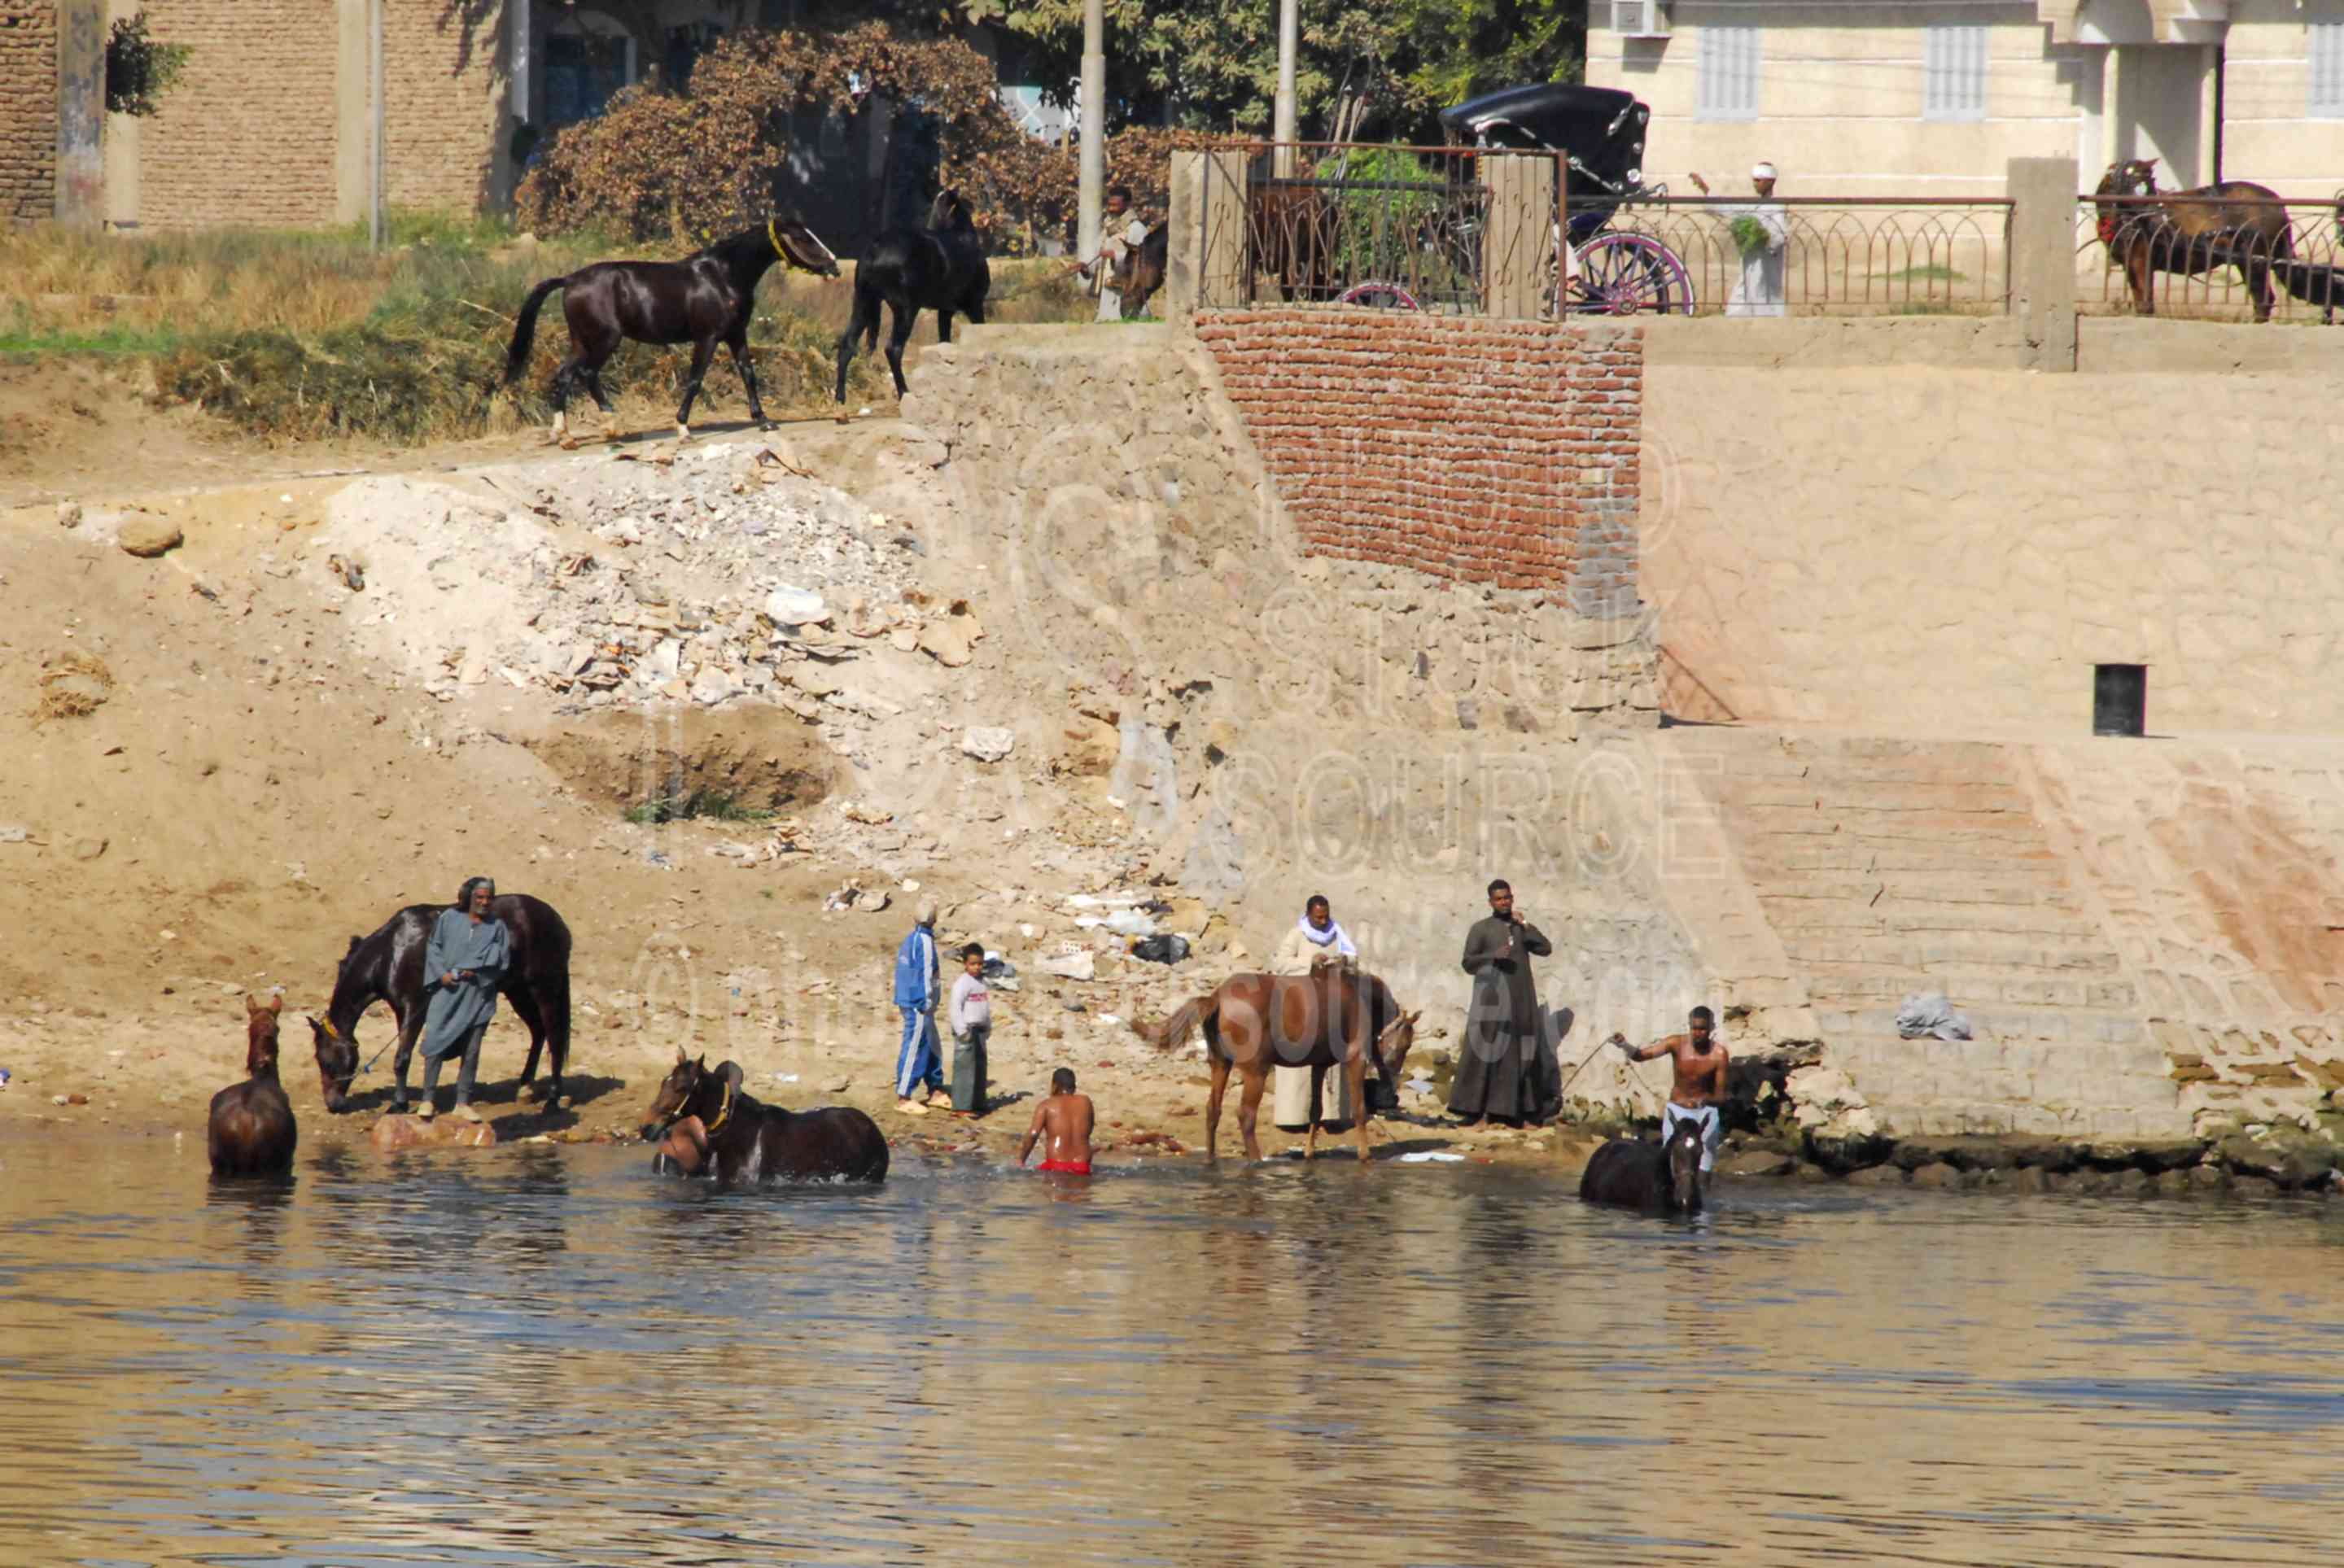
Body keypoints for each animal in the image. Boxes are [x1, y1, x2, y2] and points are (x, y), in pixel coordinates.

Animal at [306, 893, 573, 1115]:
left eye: (325, 1060)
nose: (333, 1105)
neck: (390, 954)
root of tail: (557, 921)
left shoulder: (413, 1008)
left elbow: (402, 1058)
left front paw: (399, 1104)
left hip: (544, 991)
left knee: (554, 1039)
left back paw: (552, 1100)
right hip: (518, 992)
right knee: (538, 1032)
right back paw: (525, 1088)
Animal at [501, 215, 841, 443]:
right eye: (803, 238)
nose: (835, 266)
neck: (722, 276)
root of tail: (570, 280)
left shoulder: (736, 335)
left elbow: (749, 374)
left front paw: (764, 420)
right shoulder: (708, 338)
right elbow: (695, 380)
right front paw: (683, 428)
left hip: (581, 341)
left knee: (564, 374)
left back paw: (563, 434)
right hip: (605, 340)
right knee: (587, 374)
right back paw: (611, 425)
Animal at [834, 189, 990, 405]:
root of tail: (875, 251)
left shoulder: (945, 311)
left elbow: (945, 343)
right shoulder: (975, 305)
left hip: (864, 303)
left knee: (847, 344)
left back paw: (840, 396)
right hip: (906, 309)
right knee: (893, 349)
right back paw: (904, 392)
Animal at [1150, 962, 1419, 1163]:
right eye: (1406, 1045)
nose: (1392, 1093)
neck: (1360, 996)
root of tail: (1217, 997)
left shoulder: (1319, 1065)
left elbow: (1316, 1111)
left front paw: (1309, 1153)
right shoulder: (1355, 1059)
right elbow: (1360, 1109)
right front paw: (1365, 1155)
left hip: (1220, 1063)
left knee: (1212, 1110)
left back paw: (1210, 1159)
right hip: (1256, 1071)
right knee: (1246, 1116)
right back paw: (1256, 1160)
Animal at [2093, 158, 2305, 323]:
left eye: (2151, 182)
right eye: (2132, 184)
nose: (2156, 219)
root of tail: (2276, 203)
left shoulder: (2141, 260)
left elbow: (2146, 301)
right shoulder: (2130, 264)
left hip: (2255, 261)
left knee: (2263, 298)